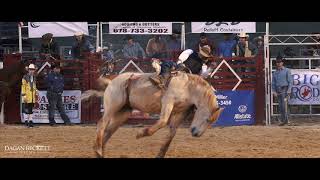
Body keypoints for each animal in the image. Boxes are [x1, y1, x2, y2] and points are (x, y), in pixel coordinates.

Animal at [90, 71, 222, 158]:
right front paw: (141, 133)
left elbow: (171, 133)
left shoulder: (181, 112)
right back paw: (98, 149)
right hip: (112, 107)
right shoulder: (168, 102)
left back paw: (99, 152)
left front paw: (160, 154)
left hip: (123, 113)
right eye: (207, 119)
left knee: (109, 130)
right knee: (101, 124)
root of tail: (111, 82)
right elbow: (162, 121)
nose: (196, 134)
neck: (188, 87)